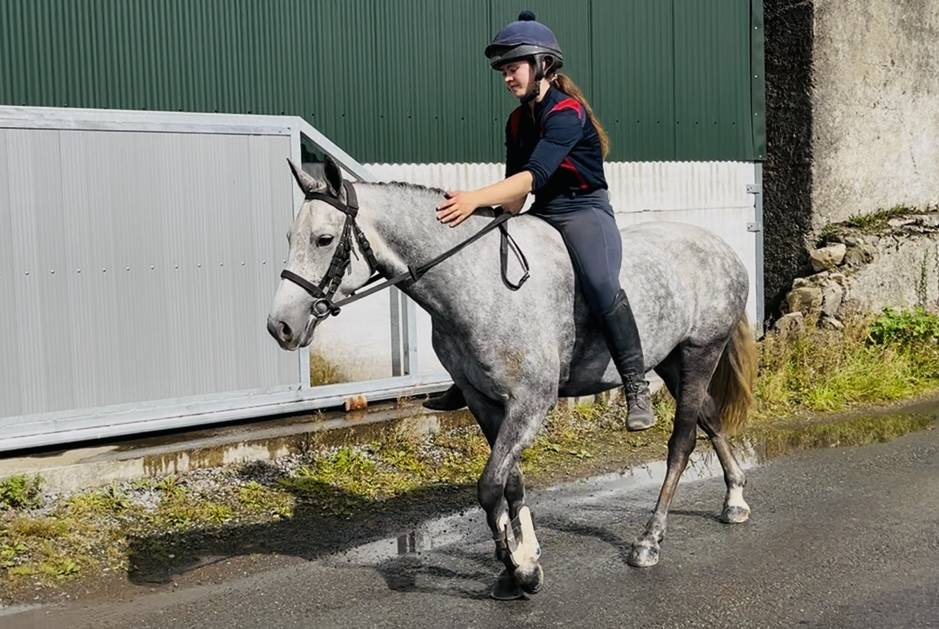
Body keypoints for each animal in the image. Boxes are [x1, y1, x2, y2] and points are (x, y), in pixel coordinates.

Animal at [268, 157, 757, 600]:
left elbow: (489, 487)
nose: (280, 327)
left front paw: (522, 570)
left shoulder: (530, 402)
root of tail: (721, 248)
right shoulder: (485, 402)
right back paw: (735, 499)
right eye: (289, 238)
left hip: (700, 352)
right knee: (710, 418)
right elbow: (511, 482)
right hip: (672, 360)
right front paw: (520, 560)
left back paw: (649, 541)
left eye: (323, 239)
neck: (478, 284)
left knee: (682, 441)